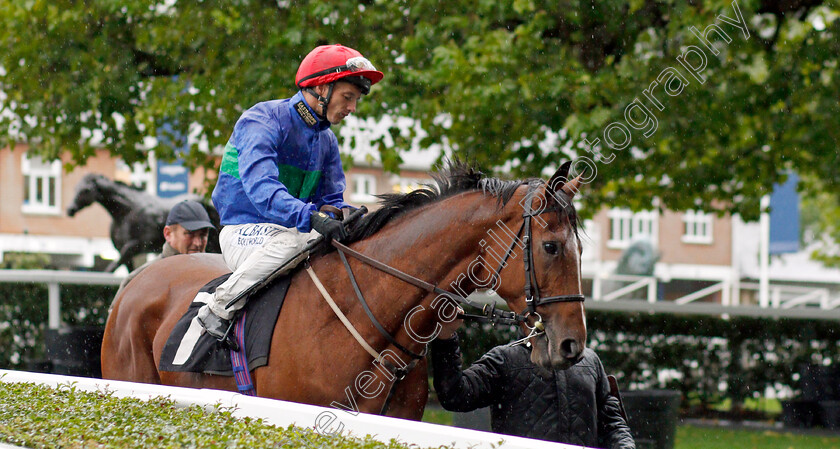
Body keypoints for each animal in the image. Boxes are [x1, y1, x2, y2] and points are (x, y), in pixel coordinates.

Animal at [67, 173, 220, 272]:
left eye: (85, 190)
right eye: (75, 188)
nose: (70, 209)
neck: (126, 211)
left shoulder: (135, 246)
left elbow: (110, 269)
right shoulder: (124, 253)